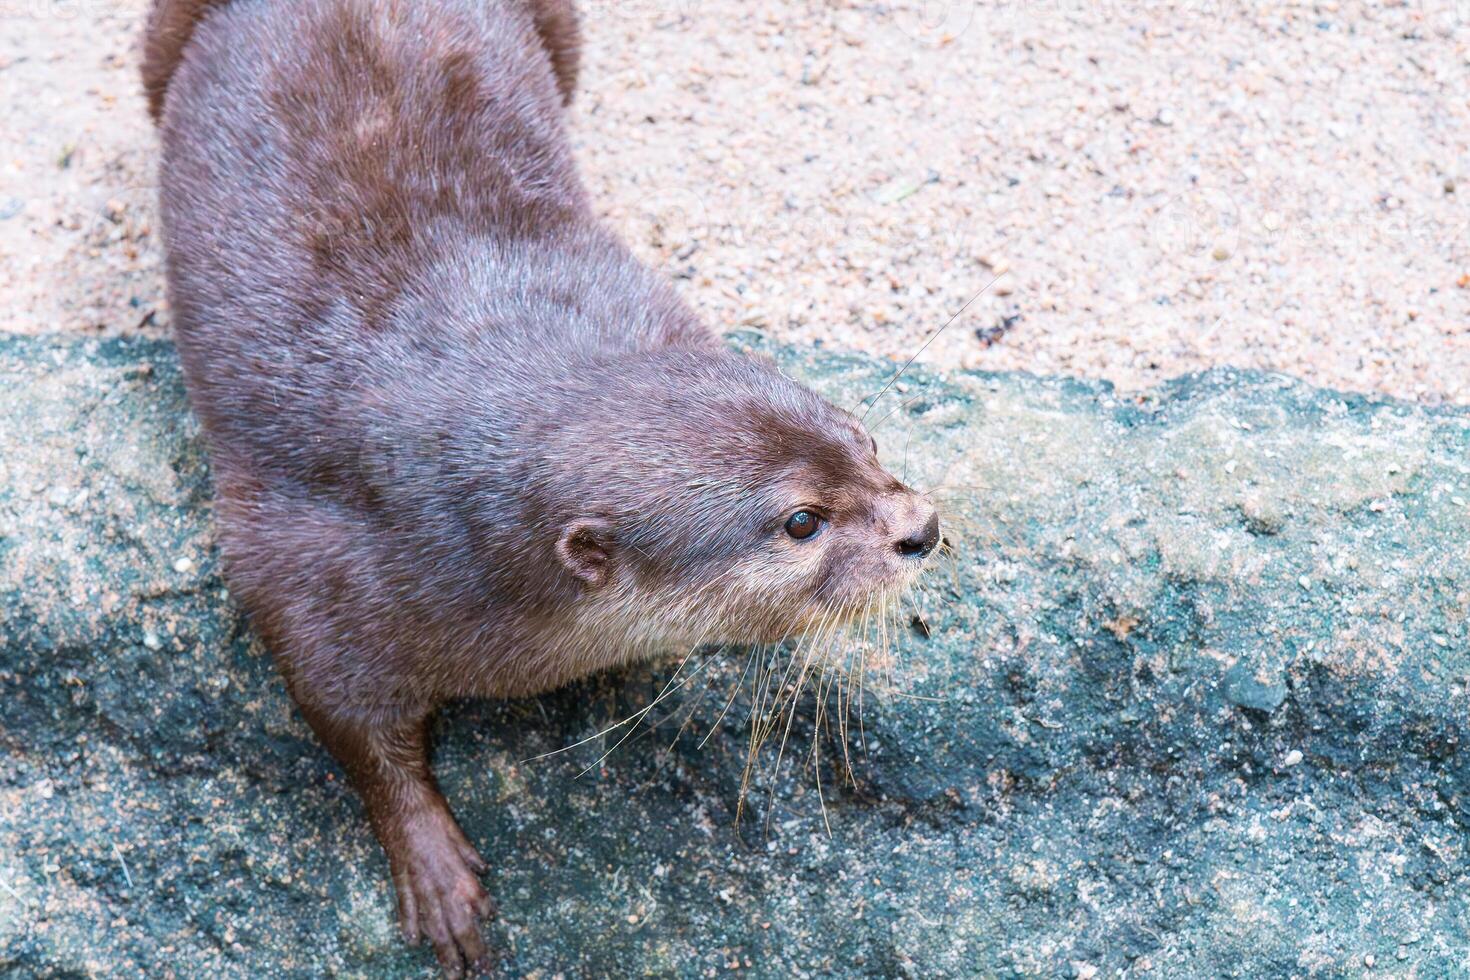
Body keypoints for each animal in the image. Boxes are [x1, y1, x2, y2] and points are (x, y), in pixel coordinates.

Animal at [140, 0, 940, 975]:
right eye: (800, 521)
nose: (921, 526)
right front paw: (432, 865)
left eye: (866, 438)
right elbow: (341, 714)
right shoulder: (309, 558)